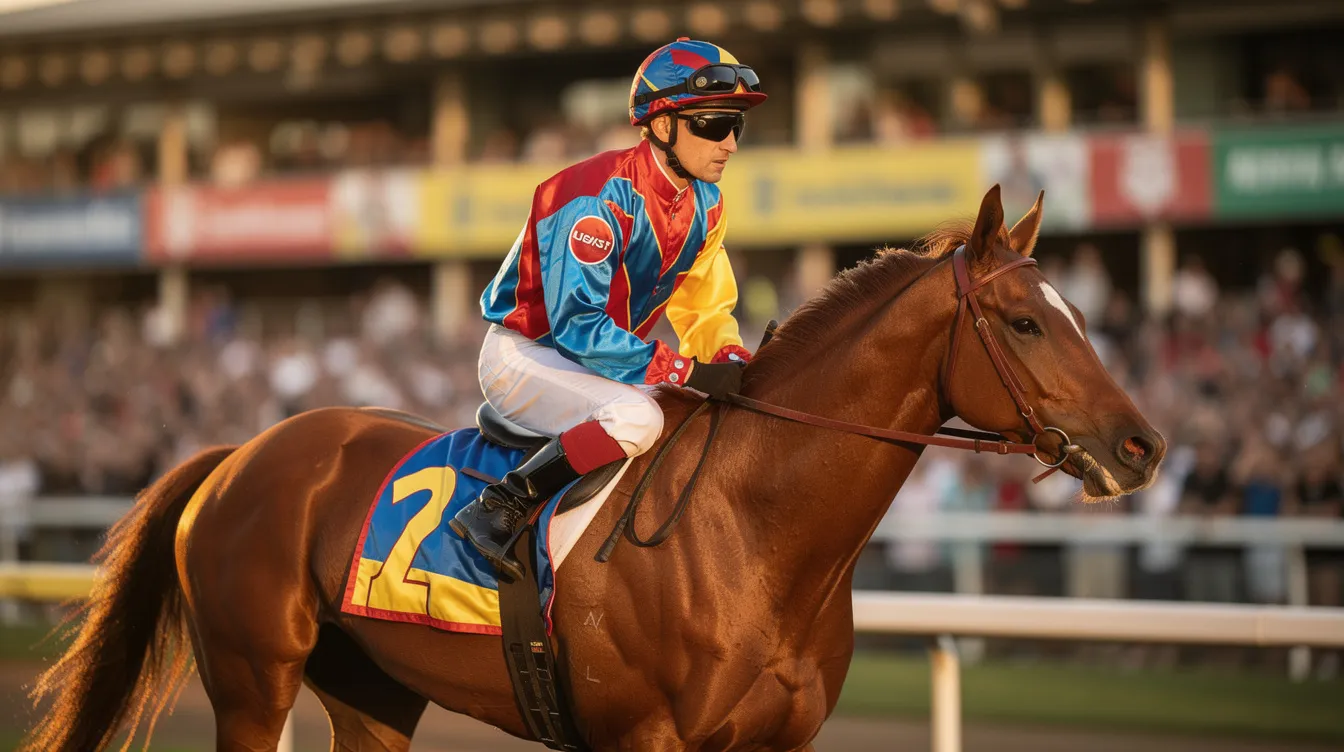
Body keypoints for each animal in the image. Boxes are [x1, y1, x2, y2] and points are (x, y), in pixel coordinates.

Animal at [24, 185, 1164, 752]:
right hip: (254, 680)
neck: (756, 537)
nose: (1142, 444)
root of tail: (243, 454)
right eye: (1024, 319)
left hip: (372, 691)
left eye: (1073, 307)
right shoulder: (646, 737)